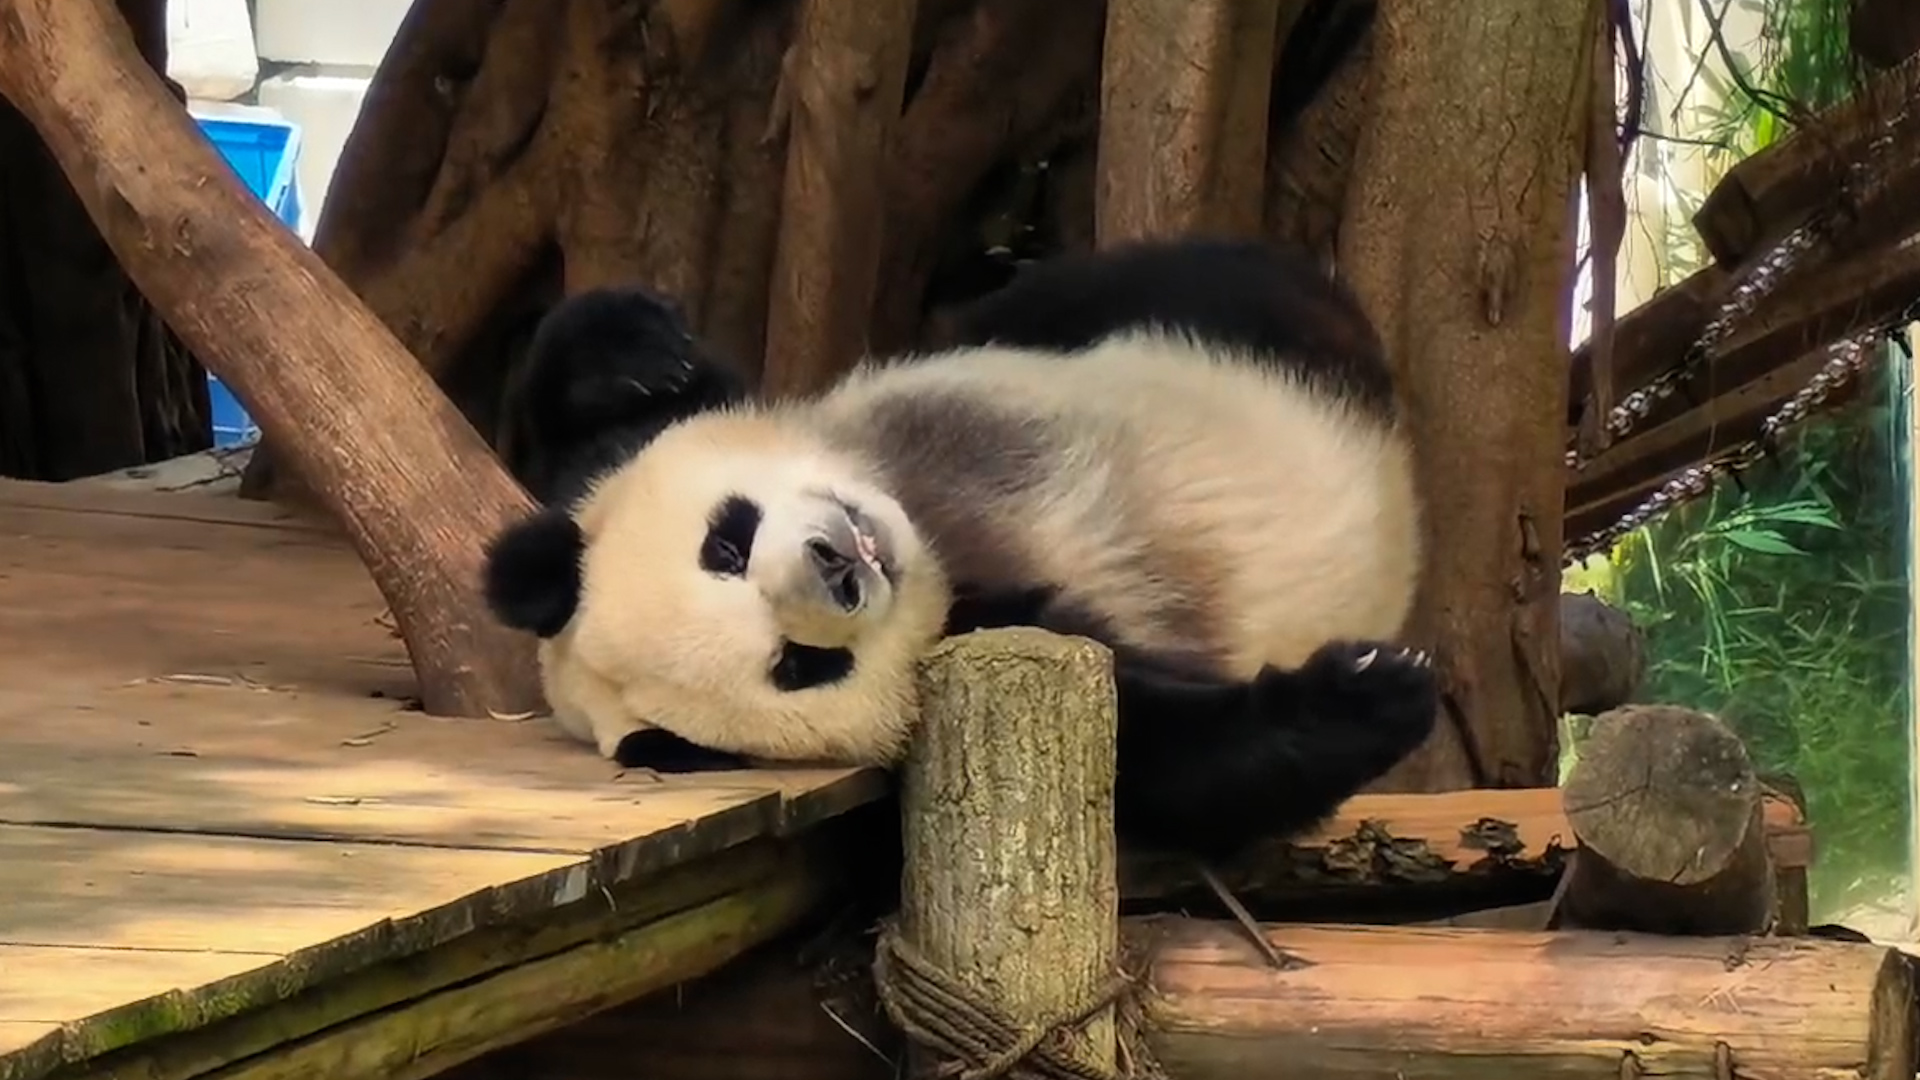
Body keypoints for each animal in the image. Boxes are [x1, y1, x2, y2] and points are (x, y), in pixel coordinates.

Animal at [482, 236, 1436, 861]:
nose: (839, 563)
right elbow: (1166, 758)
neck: (933, 535)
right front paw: (1371, 689)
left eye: (728, 540)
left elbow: (619, 414)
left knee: (1184, 285)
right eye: (797, 665)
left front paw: (638, 352)